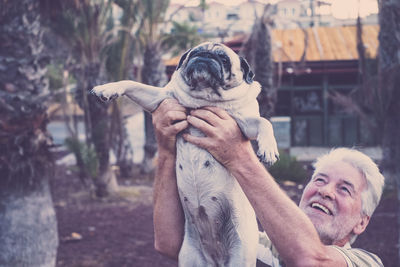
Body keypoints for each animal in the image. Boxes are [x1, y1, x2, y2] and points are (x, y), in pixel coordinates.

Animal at [91, 43, 278, 266]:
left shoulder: (245, 123)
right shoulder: (159, 98)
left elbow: (264, 122)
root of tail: (216, 259)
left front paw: (269, 149)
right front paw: (107, 88)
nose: (204, 56)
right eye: (194, 52)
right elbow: (132, 83)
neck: (204, 97)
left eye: (224, 59)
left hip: (240, 258)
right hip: (190, 258)